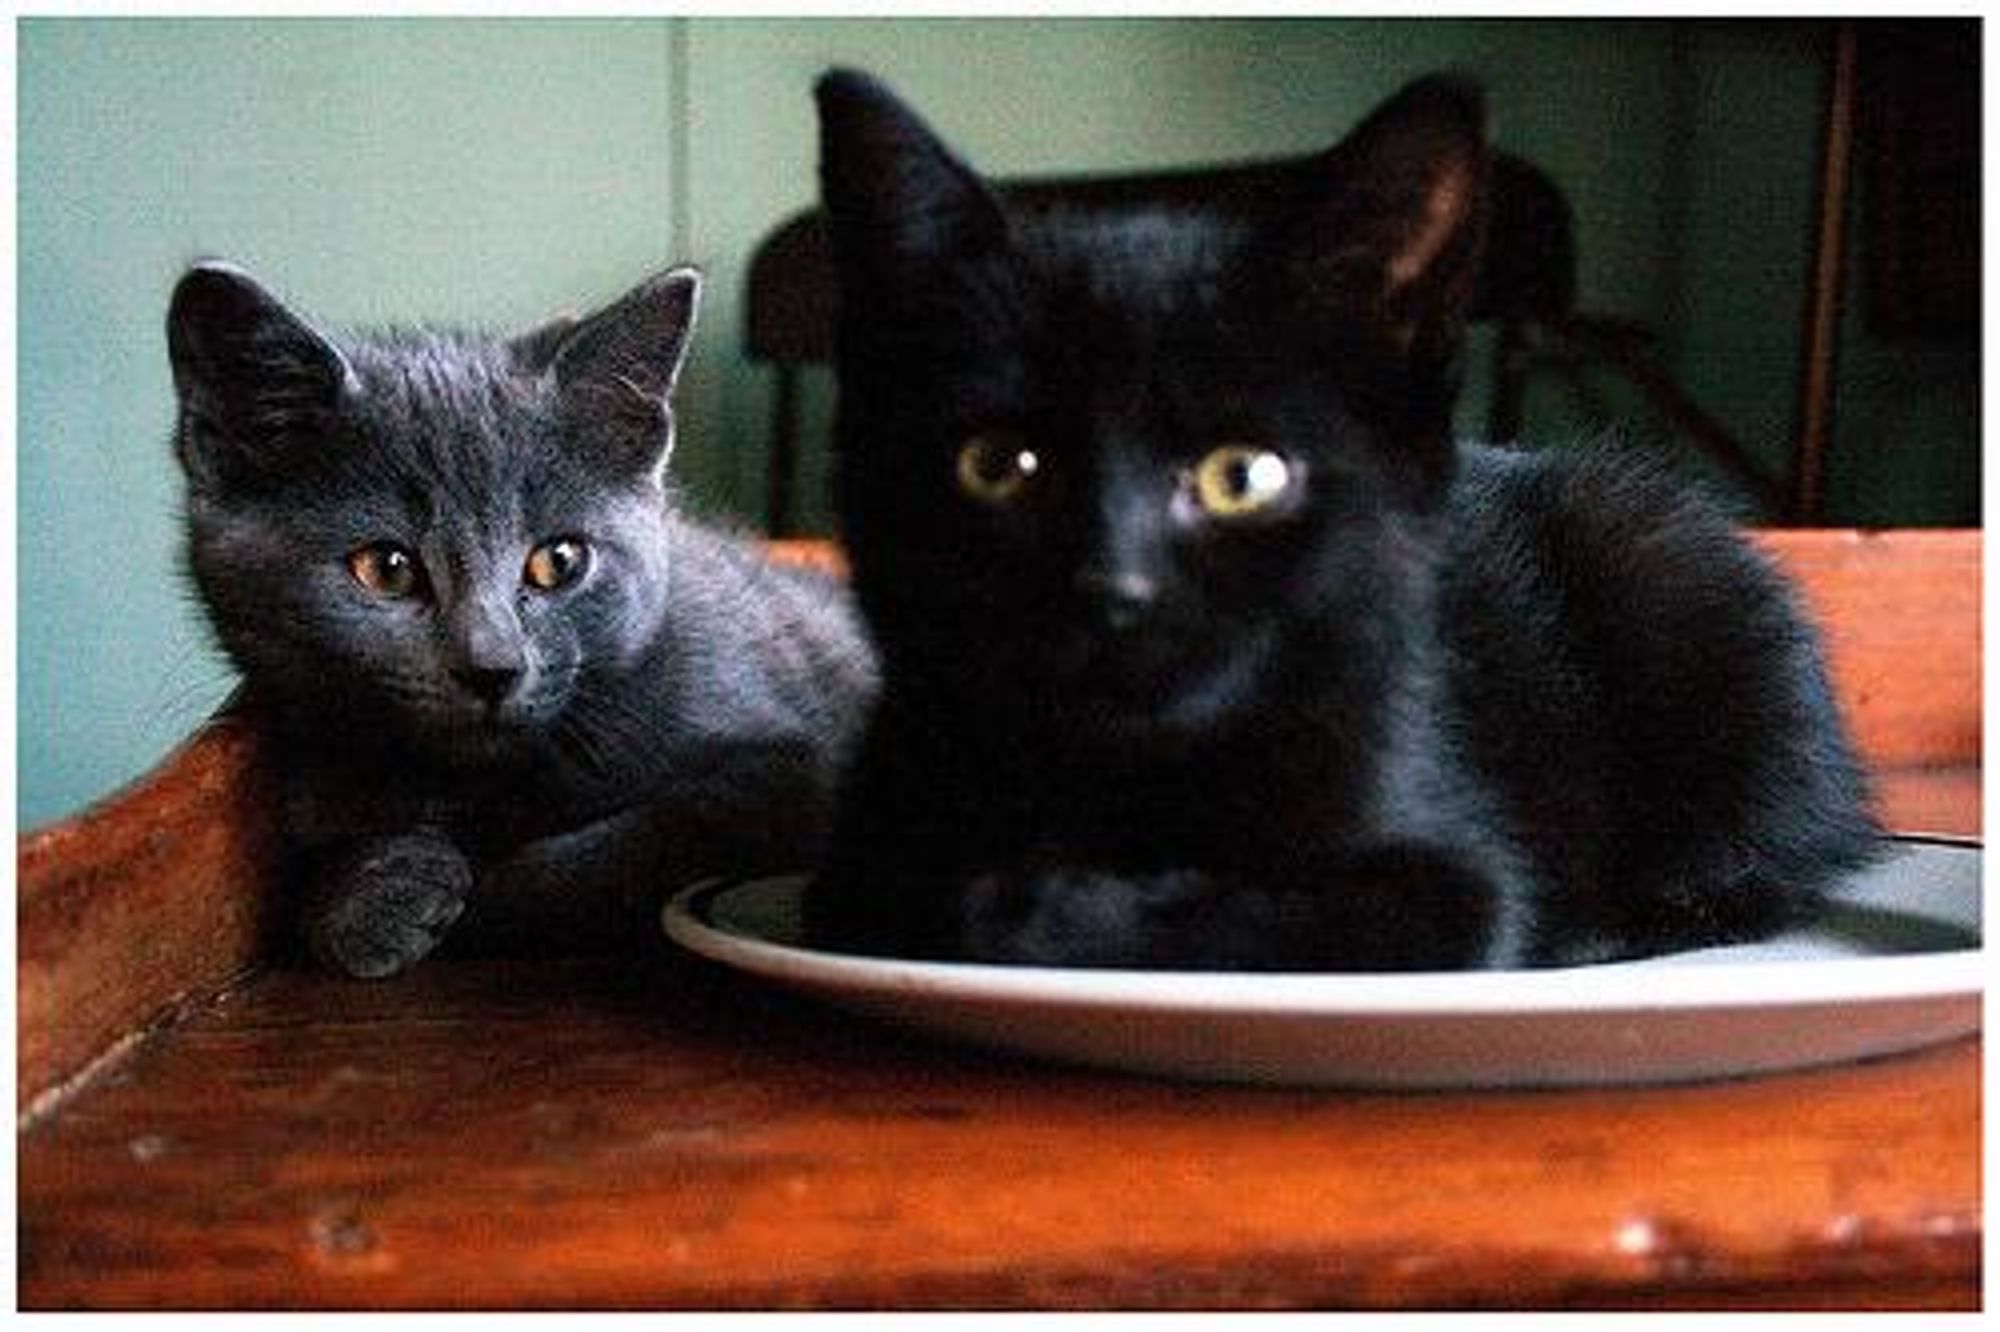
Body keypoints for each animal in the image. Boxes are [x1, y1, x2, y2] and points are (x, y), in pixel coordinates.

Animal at [176, 262, 880, 976]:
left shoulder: (791, 770)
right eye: (387, 568)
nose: (492, 667)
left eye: (558, 561)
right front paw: (373, 893)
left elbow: (644, 840)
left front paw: (481, 895)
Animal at [804, 70, 1880, 964]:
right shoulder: (858, 846)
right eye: (996, 464)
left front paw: (1039, 904)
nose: (1111, 588)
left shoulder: (1456, 879)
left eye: (1242, 477)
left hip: (1681, 591)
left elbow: (1257, 918)